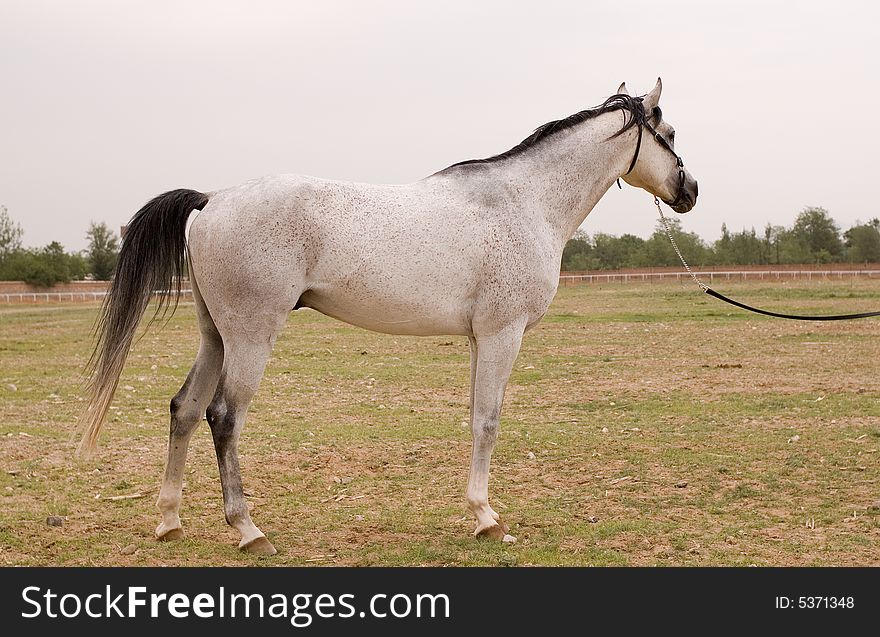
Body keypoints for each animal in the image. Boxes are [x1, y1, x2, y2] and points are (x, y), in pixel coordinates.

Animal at [79, 78, 696, 552]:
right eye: (667, 135)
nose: (690, 189)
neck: (524, 202)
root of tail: (213, 199)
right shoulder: (503, 334)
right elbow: (488, 422)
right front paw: (487, 520)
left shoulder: (478, 339)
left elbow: (474, 417)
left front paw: (478, 513)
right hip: (251, 337)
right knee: (223, 418)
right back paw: (249, 530)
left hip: (216, 335)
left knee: (184, 410)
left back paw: (169, 521)